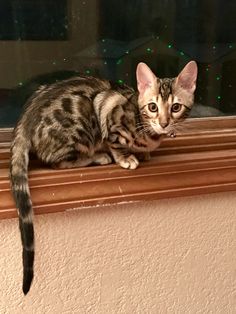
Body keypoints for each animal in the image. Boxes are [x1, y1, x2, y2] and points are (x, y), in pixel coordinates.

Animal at [9, 60, 197, 294]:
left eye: (175, 107)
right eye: (153, 107)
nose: (163, 123)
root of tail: (25, 120)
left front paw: (143, 153)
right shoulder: (110, 111)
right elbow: (115, 142)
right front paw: (126, 157)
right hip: (81, 124)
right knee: (56, 161)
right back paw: (97, 157)